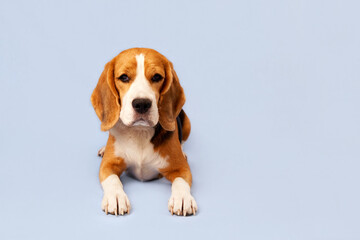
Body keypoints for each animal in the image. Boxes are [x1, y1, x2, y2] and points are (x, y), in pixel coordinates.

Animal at [90, 47, 197, 217]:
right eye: (124, 77)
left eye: (157, 77)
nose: (141, 104)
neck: (139, 132)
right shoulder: (107, 165)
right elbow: (112, 180)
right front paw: (116, 197)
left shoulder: (181, 168)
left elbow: (181, 181)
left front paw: (182, 198)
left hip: (187, 124)